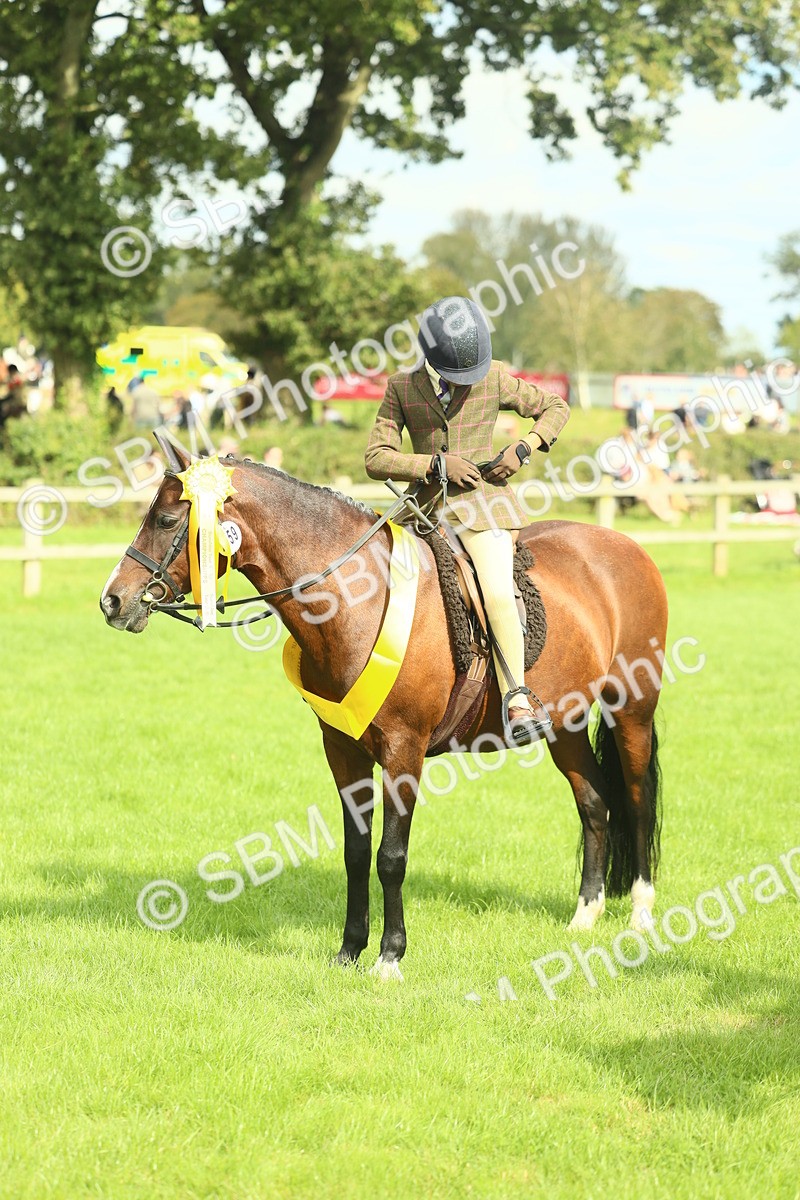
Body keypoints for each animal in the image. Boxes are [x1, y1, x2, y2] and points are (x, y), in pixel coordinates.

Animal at [101, 441, 666, 979]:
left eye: (166, 520)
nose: (112, 601)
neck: (355, 598)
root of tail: (624, 546)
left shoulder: (403, 752)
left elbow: (390, 856)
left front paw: (390, 956)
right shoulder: (344, 751)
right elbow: (356, 853)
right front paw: (350, 950)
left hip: (631, 710)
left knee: (637, 800)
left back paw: (641, 914)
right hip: (565, 724)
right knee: (594, 802)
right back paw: (585, 915)